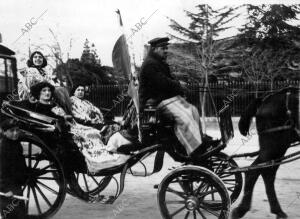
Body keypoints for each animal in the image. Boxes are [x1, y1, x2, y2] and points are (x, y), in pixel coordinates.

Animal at [231, 86, 298, 218]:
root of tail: (265, 99)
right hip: (274, 146)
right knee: (255, 171)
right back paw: (242, 209)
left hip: (277, 148)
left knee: (267, 173)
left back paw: (277, 210)